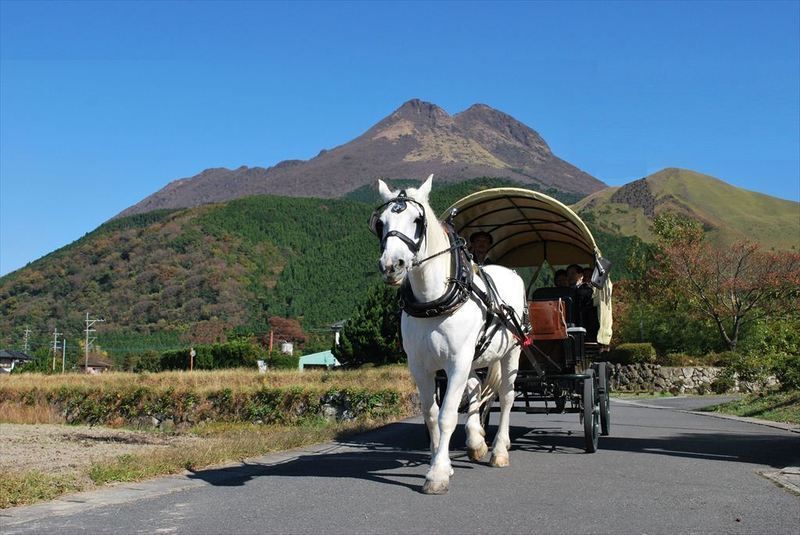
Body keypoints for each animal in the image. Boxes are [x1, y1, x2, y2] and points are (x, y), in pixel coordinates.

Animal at [371, 174, 528, 495]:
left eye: (418, 220)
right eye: (380, 223)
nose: (392, 266)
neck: (434, 301)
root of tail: (510, 272)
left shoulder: (456, 362)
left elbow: (446, 416)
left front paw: (438, 474)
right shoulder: (421, 366)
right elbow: (431, 415)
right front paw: (440, 461)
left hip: (511, 352)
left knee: (506, 396)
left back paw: (499, 450)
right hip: (475, 357)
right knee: (476, 389)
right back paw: (476, 441)